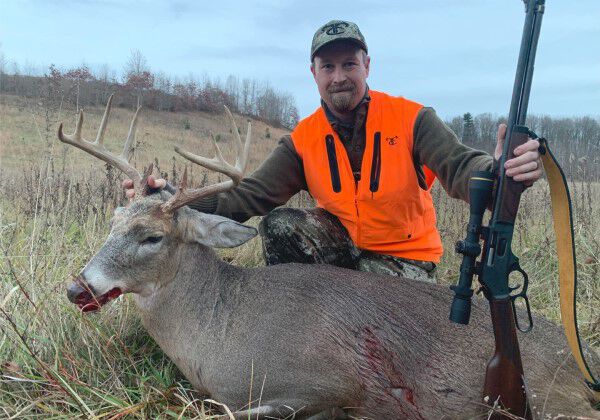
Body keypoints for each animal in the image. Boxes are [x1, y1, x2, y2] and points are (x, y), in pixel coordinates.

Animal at [58, 97, 596, 418]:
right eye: (113, 219)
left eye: (151, 236)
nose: (77, 287)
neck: (219, 329)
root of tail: (583, 365)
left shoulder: (322, 387)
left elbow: (225, 411)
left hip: (550, 399)